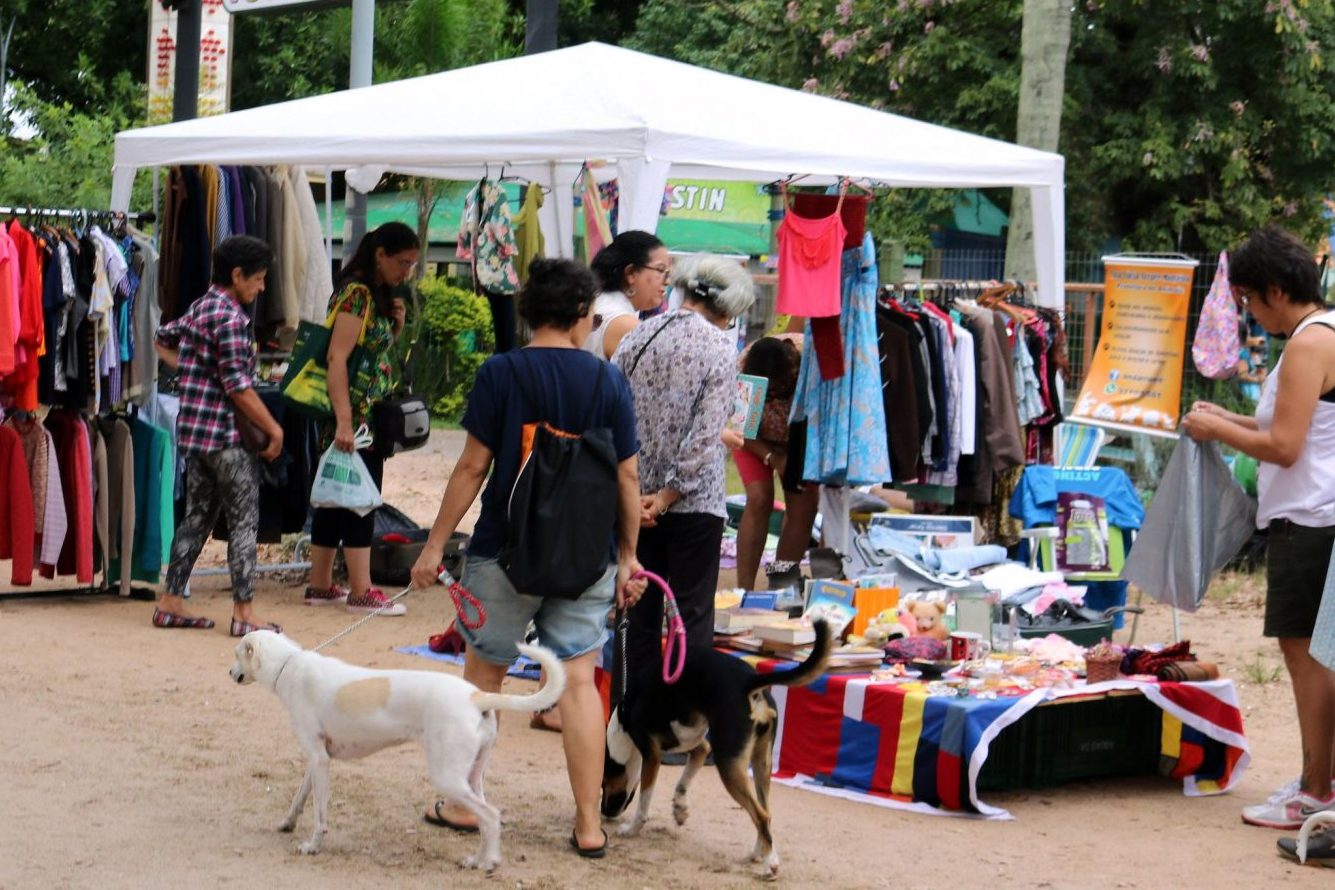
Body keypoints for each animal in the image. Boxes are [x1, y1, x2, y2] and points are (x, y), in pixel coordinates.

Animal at [229, 629, 563, 875]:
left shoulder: (320, 760)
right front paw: (287, 824)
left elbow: (319, 813)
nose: (230, 672)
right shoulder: (317, 760)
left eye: (236, 654)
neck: (289, 665)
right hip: (470, 778)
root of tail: (477, 696)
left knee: (491, 817)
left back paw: (488, 863)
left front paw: (313, 846)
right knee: (484, 819)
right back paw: (478, 859)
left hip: (447, 778)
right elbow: (299, 798)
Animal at [603, 624, 827, 880]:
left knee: (762, 815)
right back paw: (758, 853)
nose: (604, 811)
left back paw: (770, 864)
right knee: (765, 812)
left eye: (603, 783)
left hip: (728, 764)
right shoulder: (698, 747)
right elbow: (683, 780)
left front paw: (632, 829)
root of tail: (749, 680)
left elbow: (644, 803)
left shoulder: (652, 755)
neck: (624, 716)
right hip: (761, 763)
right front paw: (680, 809)